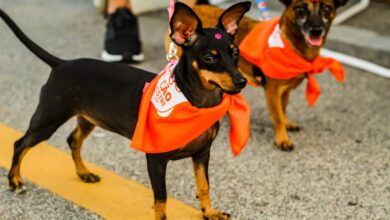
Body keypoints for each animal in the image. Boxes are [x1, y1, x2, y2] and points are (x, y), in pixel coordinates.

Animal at [0, 2, 250, 220]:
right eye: (209, 57)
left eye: (235, 53)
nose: (242, 81)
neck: (193, 101)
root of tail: (61, 63)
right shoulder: (156, 160)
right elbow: (161, 199)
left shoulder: (202, 153)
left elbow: (204, 186)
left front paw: (210, 212)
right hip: (48, 118)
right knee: (21, 144)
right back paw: (15, 181)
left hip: (88, 118)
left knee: (73, 140)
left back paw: (84, 173)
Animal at [168, 0, 350, 150]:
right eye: (300, 9)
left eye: (327, 8)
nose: (316, 31)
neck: (291, 45)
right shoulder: (272, 92)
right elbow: (278, 116)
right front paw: (283, 139)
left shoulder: (285, 91)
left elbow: (283, 110)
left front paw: (287, 124)